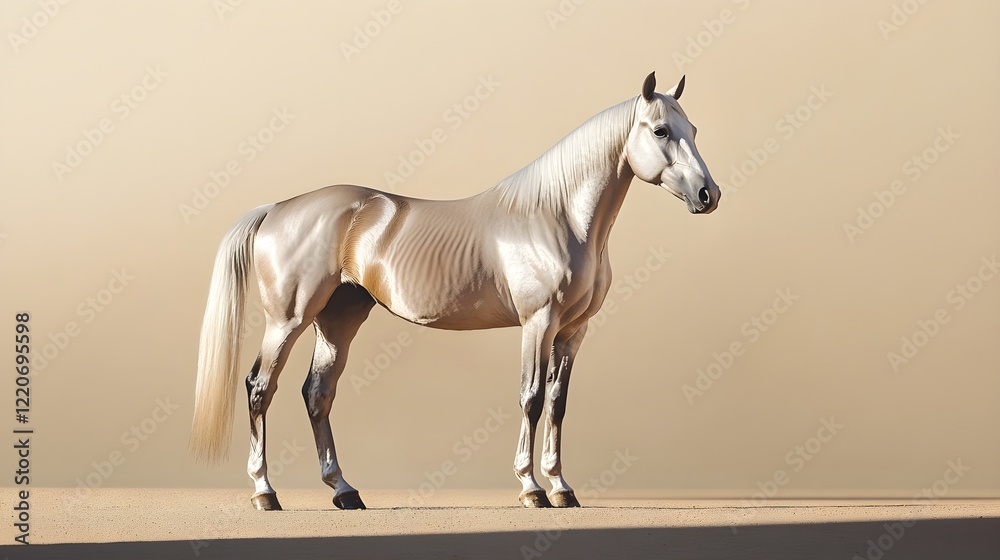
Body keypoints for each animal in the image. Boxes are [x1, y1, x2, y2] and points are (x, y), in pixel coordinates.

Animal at [190, 72, 720, 511]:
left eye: (694, 130)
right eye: (660, 131)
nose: (708, 195)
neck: (556, 216)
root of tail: (277, 208)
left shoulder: (574, 331)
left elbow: (558, 403)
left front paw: (562, 488)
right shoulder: (539, 323)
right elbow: (531, 398)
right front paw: (532, 489)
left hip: (338, 320)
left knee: (317, 394)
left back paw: (344, 491)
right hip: (289, 319)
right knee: (260, 389)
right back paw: (265, 493)